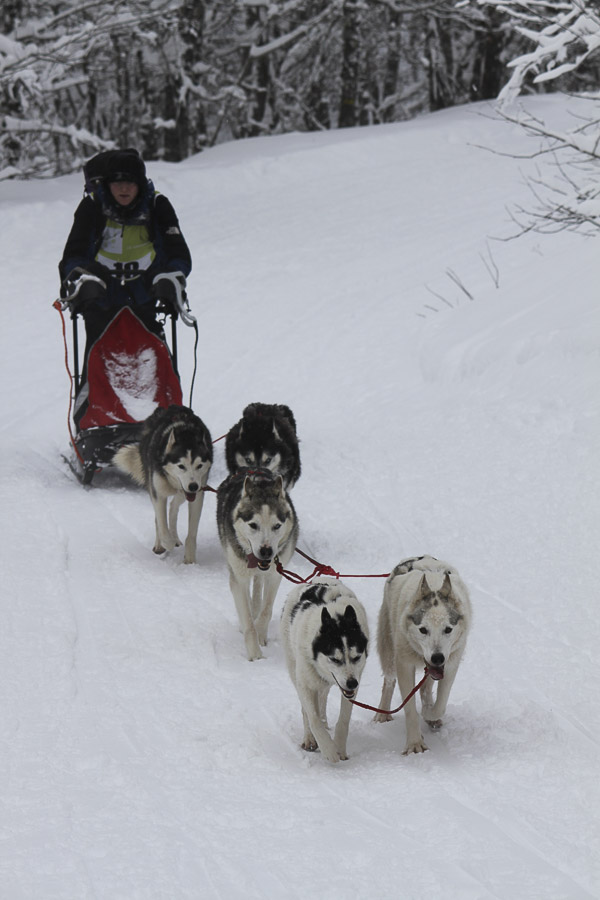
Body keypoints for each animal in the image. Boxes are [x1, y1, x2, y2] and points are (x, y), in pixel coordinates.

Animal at [112, 406, 213, 564]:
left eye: (199, 465)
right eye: (181, 466)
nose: (193, 486)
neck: (185, 432)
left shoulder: (197, 494)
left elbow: (191, 533)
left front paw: (190, 560)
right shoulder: (158, 493)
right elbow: (162, 525)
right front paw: (167, 543)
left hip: (184, 492)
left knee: (173, 507)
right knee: (159, 518)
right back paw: (161, 544)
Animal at [217, 468, 298, 656]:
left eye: (277, 526)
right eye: (253, 525)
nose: (266, 551)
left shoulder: (275, 575)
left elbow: (266, 609)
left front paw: (261, 634)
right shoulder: (239, 578)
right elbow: (247, 620)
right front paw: (255, 655)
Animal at [280, 580, 368, 764]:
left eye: (356, 657)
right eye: (335, 659)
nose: (352, 683)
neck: (336, 616)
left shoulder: (352, 686)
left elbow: (344, 719)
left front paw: (339, 746)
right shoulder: (305, 684)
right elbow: (313, 718)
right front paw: (328, 748)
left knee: (322, 700)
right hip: (295, 669)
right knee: (307, 710)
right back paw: (310, 738)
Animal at [376, 556, 468, 752]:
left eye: (448, 629)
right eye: (423, 630)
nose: (437, 657)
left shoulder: (450, 664)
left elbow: (440, 704)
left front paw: (429, 713)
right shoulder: (404, 665)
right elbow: (409, 708)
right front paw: (414, 744)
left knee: (425, 688)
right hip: (389, 651)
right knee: (389, 681)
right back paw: (382, 714)